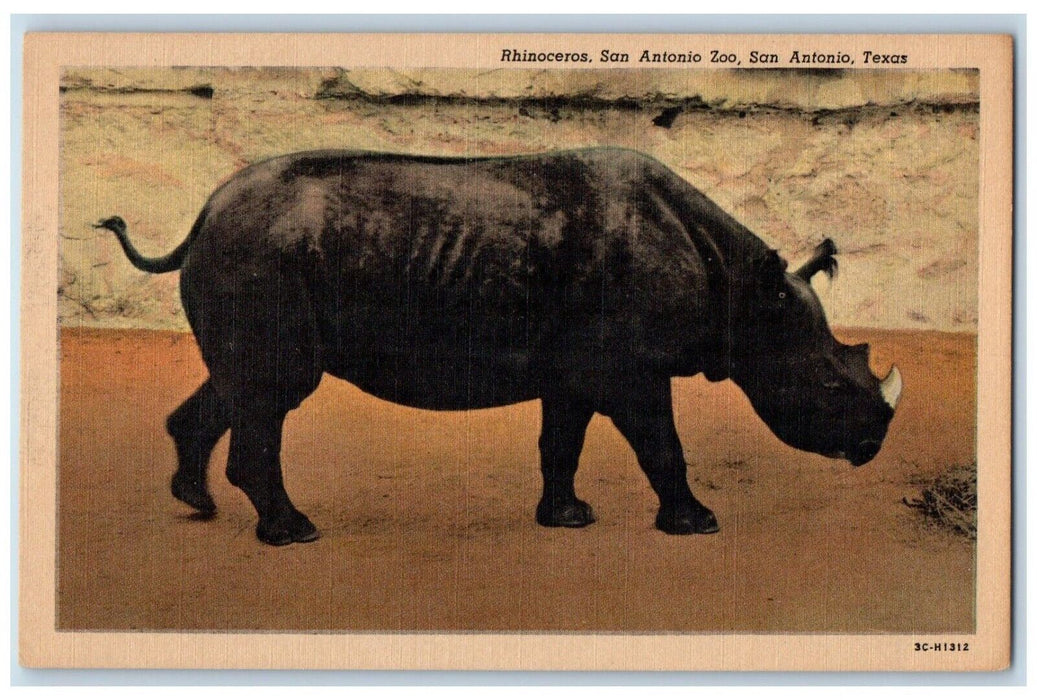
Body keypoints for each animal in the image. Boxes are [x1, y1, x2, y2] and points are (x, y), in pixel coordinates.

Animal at [96, 147, 902, 546]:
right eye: (830, 386)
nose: (872, 448)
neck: (740, 293)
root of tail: (205, 213)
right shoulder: (630, 367)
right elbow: (661, 445)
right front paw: (697, 524)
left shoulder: (580, 364)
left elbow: (561, 442)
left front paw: (568, 520)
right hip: (261, 252)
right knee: (275, 389)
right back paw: (293, 535)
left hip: (252, 251)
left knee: (242, 381)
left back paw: (198, 504)